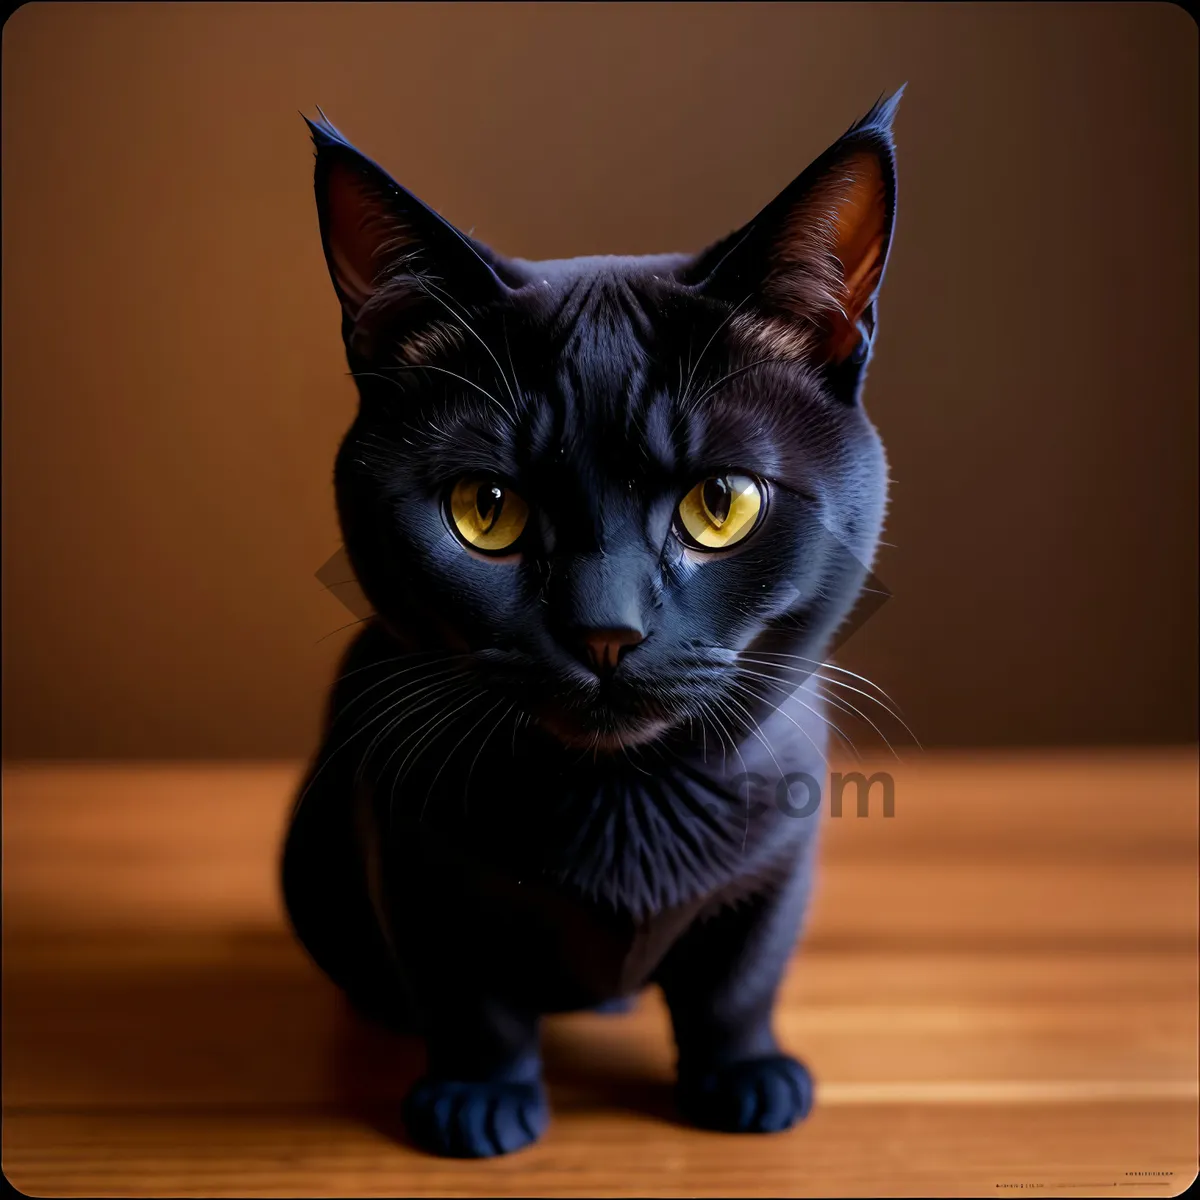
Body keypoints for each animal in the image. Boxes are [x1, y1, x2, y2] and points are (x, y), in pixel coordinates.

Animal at [280, 88, 902, 1156]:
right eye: (485, 509)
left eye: (721, 503)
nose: (605, 630)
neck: (625, 796)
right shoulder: (411, 858)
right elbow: (469, 993)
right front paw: (478, 1100)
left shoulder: (782, 861)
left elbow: (742, 976)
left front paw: (747, 1077)